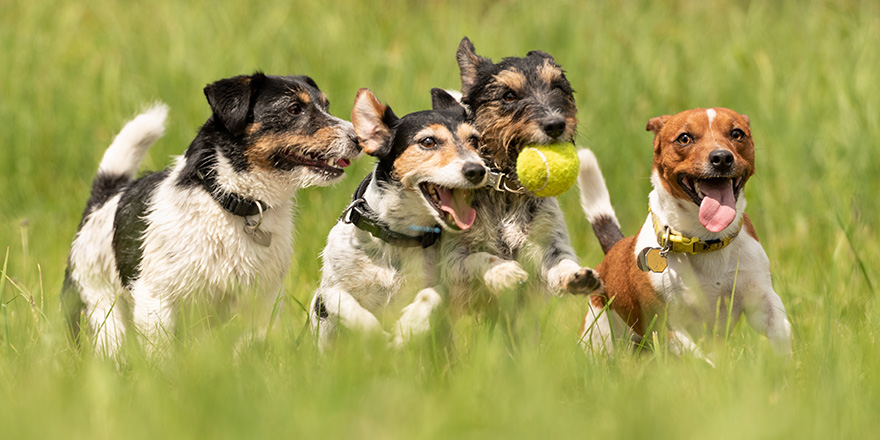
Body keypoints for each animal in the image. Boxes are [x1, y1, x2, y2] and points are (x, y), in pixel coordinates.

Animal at [62, 71, 360, 354]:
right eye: (294, 108)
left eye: (326, 105)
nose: (358, 139)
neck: (232, 203)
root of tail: (101, 203)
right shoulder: (156, 300)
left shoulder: (260, 303)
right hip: (102, 313)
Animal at [310, 87, 488, 348]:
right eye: (428, 141)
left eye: (474, 140)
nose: (477, 170)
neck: (397, 236)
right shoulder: (329, 291)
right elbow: (346, 305)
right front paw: (376, 336)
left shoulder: (446, 283)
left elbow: (431, 295)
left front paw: (408, 327)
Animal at [576, 108, 792, 360]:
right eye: (685, 138)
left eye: (737, 133)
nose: (722, 157)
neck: (706, 240)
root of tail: (614, 248)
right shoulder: (667, 327)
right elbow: (701, 361)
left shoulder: (761, 299)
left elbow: (781, 331)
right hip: (599, 334)